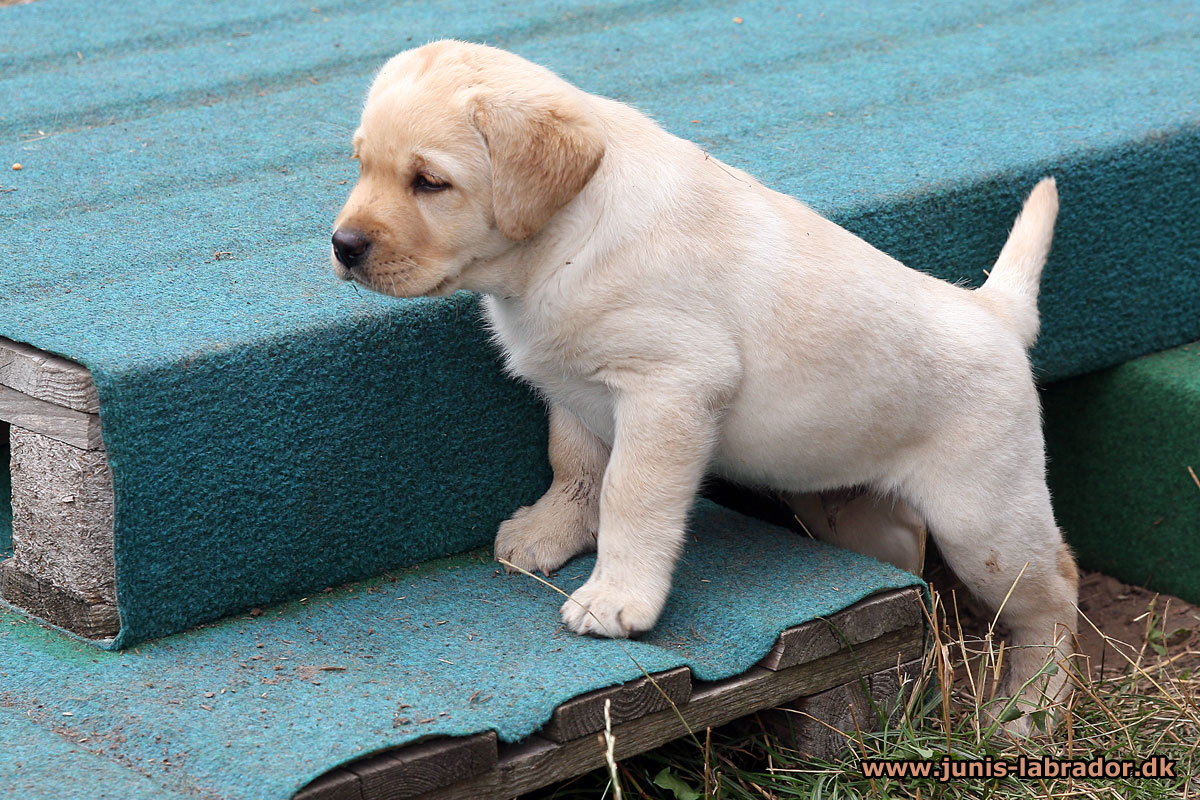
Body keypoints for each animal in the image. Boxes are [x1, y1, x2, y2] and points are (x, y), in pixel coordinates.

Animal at [336, 42, 1080, 734]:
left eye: (430, 182)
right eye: (361, 164)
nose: (343, 245)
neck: (563, 241)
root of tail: (993, 312)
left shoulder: (672, 385)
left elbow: (629, 493)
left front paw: (616, 598)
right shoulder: (575, 384)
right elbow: (574, 463)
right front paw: (551, 532)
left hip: (986, 522)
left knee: (1056, 598)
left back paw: (1028, 709)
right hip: (863, 515)